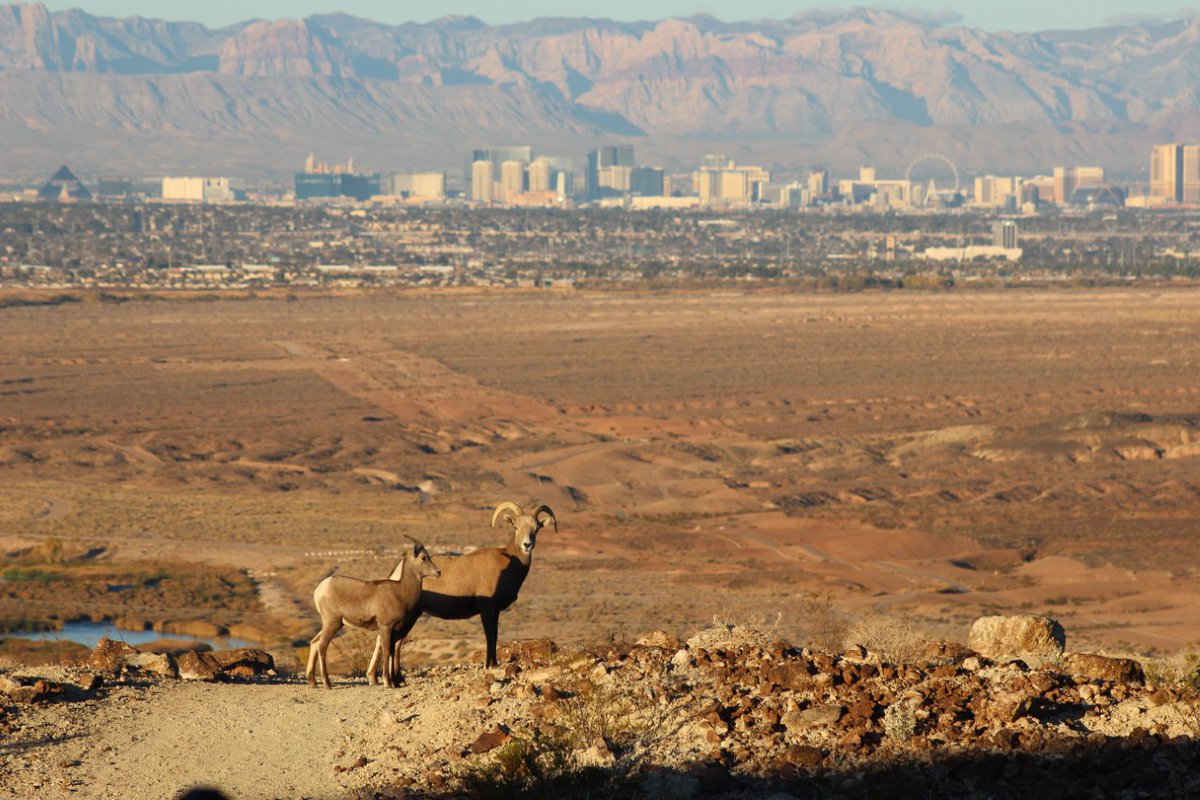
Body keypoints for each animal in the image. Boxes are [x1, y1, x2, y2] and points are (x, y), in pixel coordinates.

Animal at [305, 536, 441, 689]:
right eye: (423, 557)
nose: (438, 572)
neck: (400, 592)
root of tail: (320, 589)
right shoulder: (386, 627)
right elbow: (386, 651)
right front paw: (388, 682)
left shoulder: (393, 630)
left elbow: (391, 651)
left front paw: (395, 683)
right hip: (332, 623)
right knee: (322, 646)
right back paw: (327, 684)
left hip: (332, 624)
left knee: (314, 642)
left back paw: (313, 682)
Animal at [369, 501, 556, 677]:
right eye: (516, 526)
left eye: (536, 528)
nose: (527, 544)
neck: (509, 565)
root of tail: (397, 570)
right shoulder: (488, 609)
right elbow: (491, 635)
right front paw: (490, 665)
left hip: (413, 615)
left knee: (395, 641)